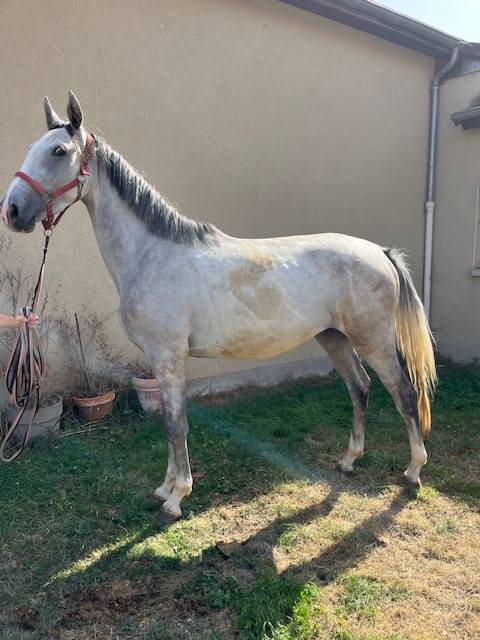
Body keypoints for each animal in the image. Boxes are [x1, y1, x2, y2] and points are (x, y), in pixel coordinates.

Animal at [1, 93, 436, 522]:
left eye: (58, 151)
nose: (12, 211)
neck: (152, 255)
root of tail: (380, 252)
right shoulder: (161, 361)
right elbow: (169, 425)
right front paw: (164, 489)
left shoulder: (169, 358)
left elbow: (176, 425)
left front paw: (176, 498)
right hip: (334, 338)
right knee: (359, 387)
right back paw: (348, 461)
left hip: (374, 340)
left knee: (403, 393)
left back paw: (414, 471)